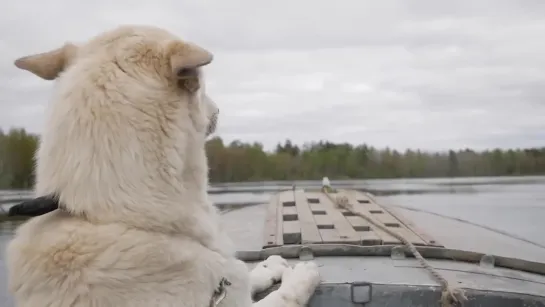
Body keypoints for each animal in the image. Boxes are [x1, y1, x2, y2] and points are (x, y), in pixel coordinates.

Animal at [6, 24, 318, 307]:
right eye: (201, 84)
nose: (218, 109)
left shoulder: (227, 282)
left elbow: (247, 274)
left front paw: (271, 267)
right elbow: (282, 295)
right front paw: (301, 276)